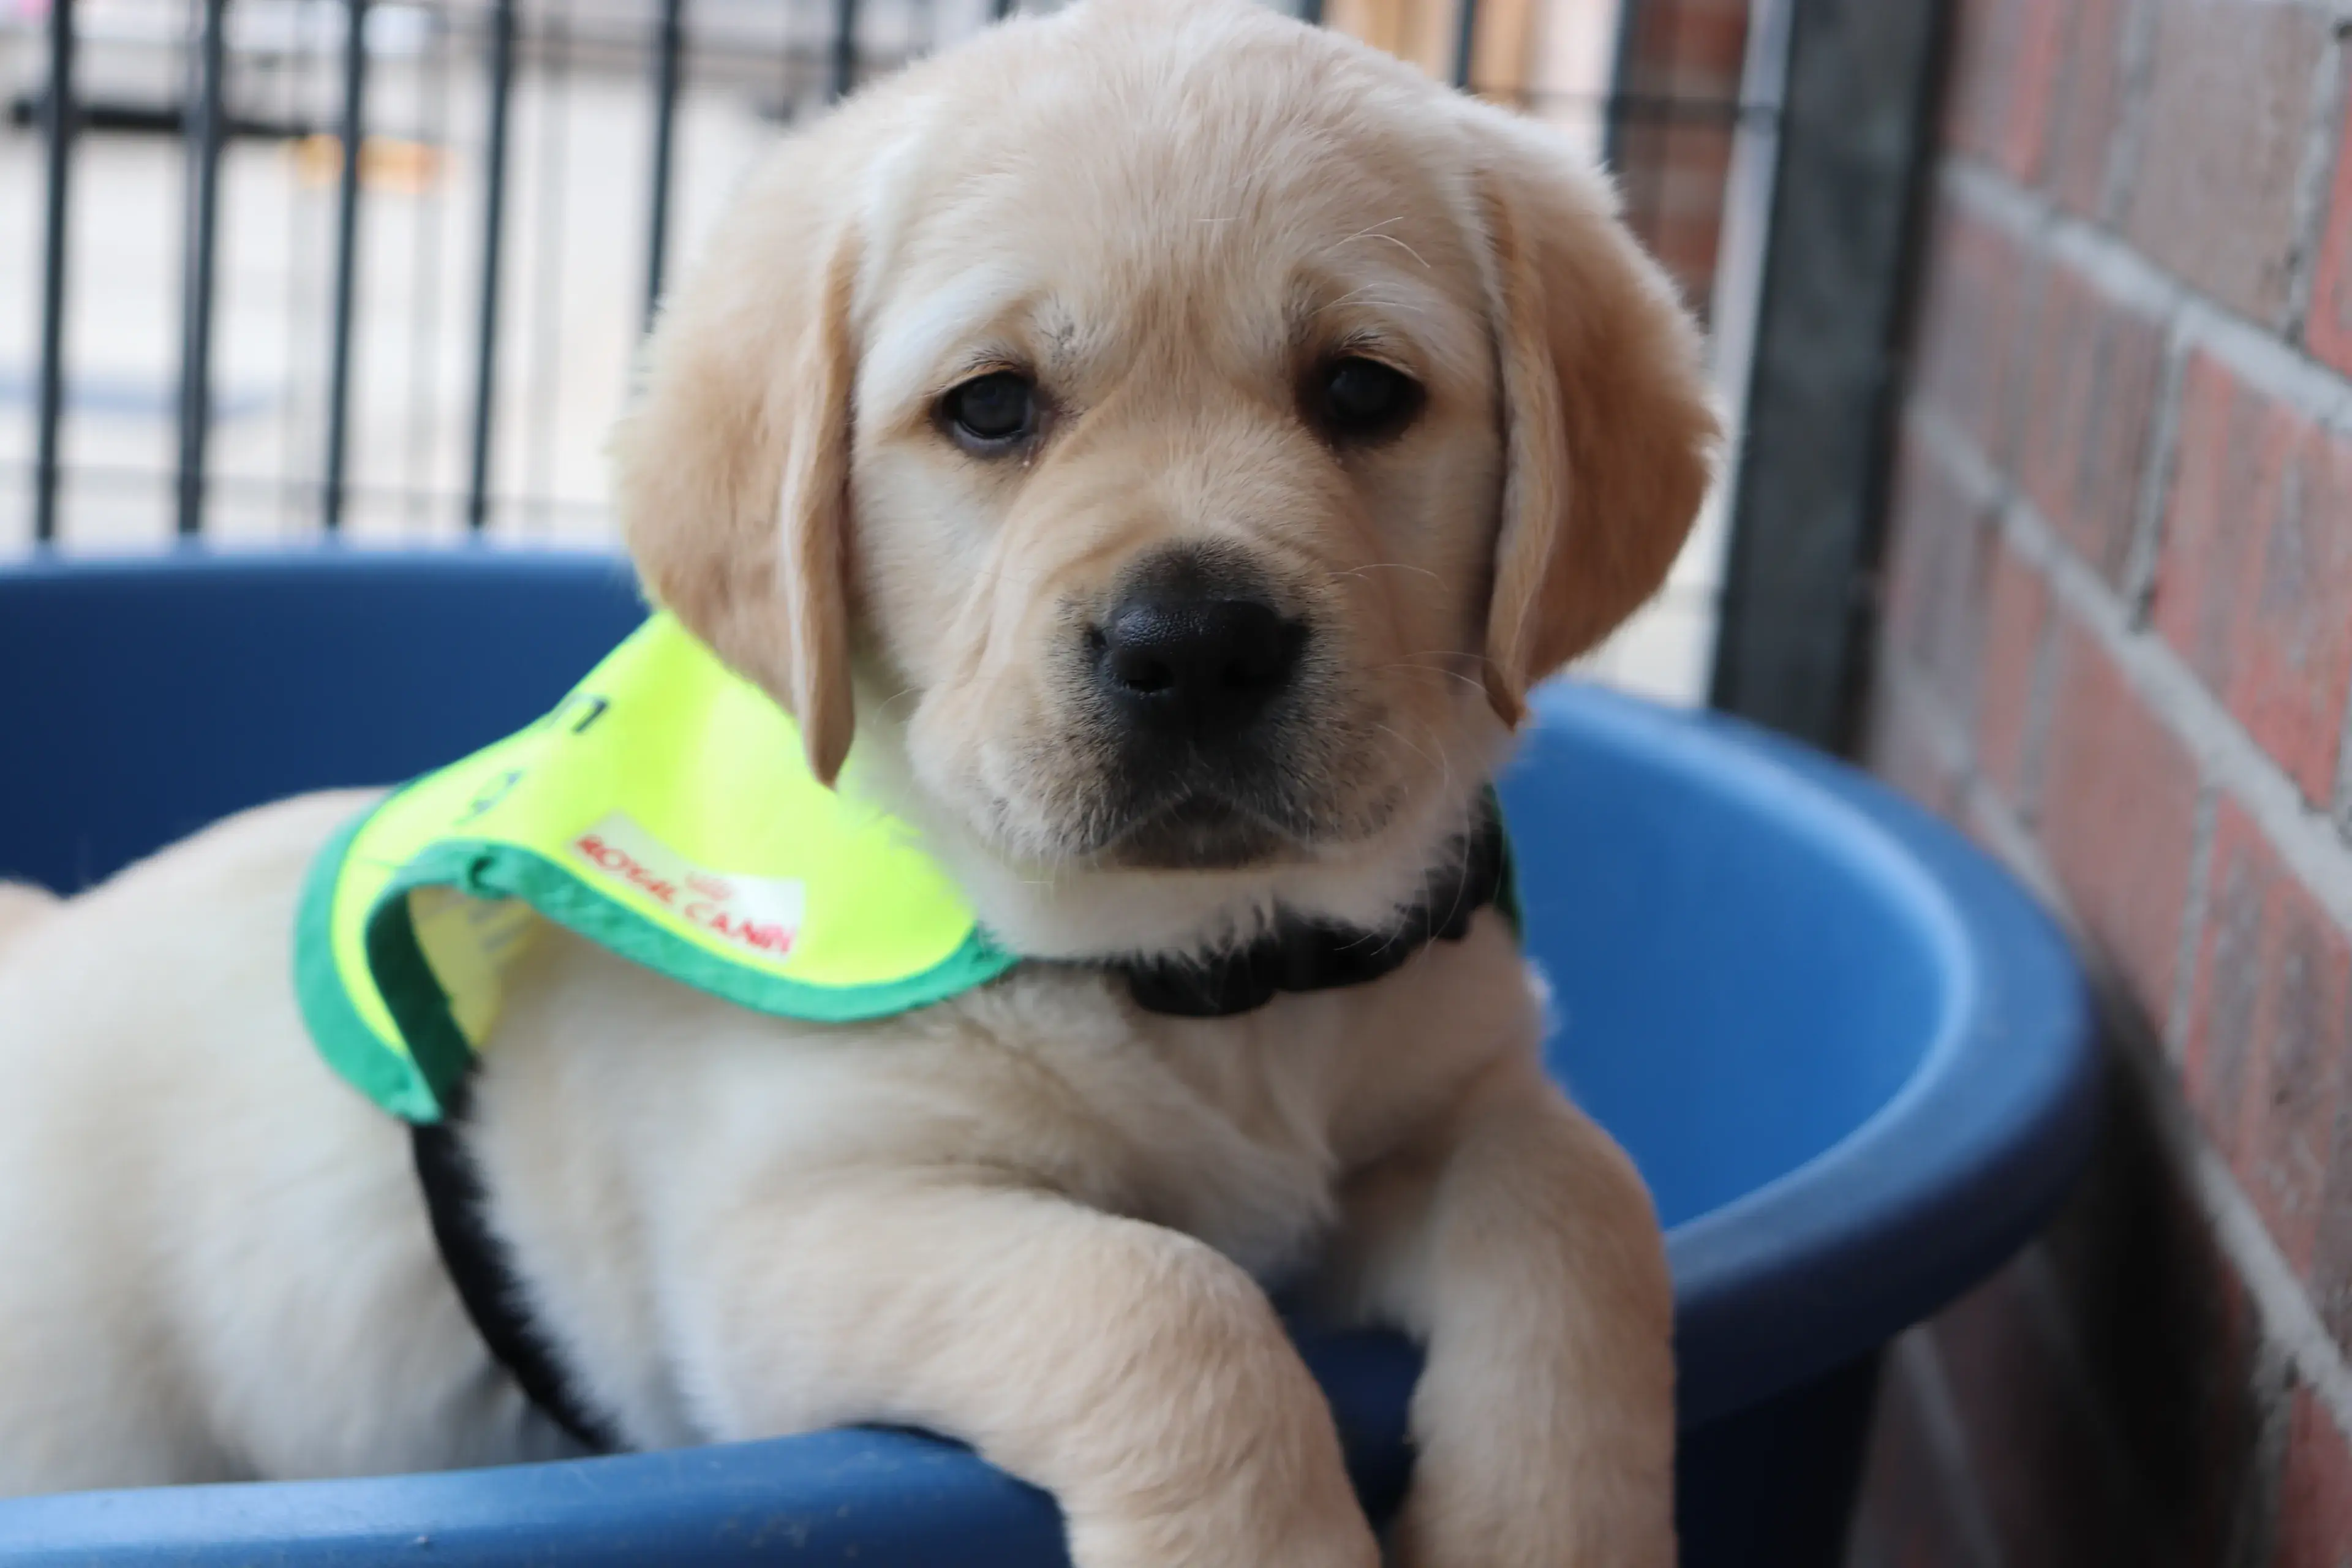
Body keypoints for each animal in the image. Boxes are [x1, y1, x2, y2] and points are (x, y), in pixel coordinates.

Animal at [0, 2, 1716, 1563]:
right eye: (991, 407)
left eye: (1362, 392)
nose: (1197, 643)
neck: (1204, 969)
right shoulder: (782, 1245)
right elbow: (1162, 1298)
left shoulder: (1447, 1101)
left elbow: (1578, 1199)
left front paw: (1548, 1522)